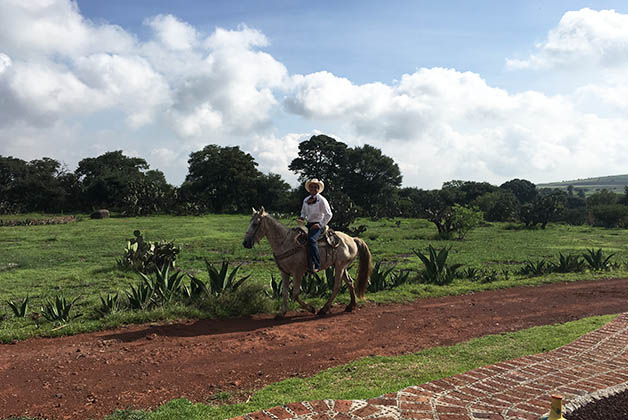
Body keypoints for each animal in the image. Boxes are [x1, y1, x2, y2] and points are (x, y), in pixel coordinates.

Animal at [242, 208, 372, 316]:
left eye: (255, 224)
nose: (245, 243)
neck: (285, 243)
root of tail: (352, 239)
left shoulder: (297, 272)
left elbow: (295, 293)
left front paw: (311, 309)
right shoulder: (284, 272)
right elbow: (285, 292)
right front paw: (282, 313)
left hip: (339, 267)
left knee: (337, 286)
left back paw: (324, 309)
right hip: (341, 266)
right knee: (349, 282)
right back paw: (351, 305)